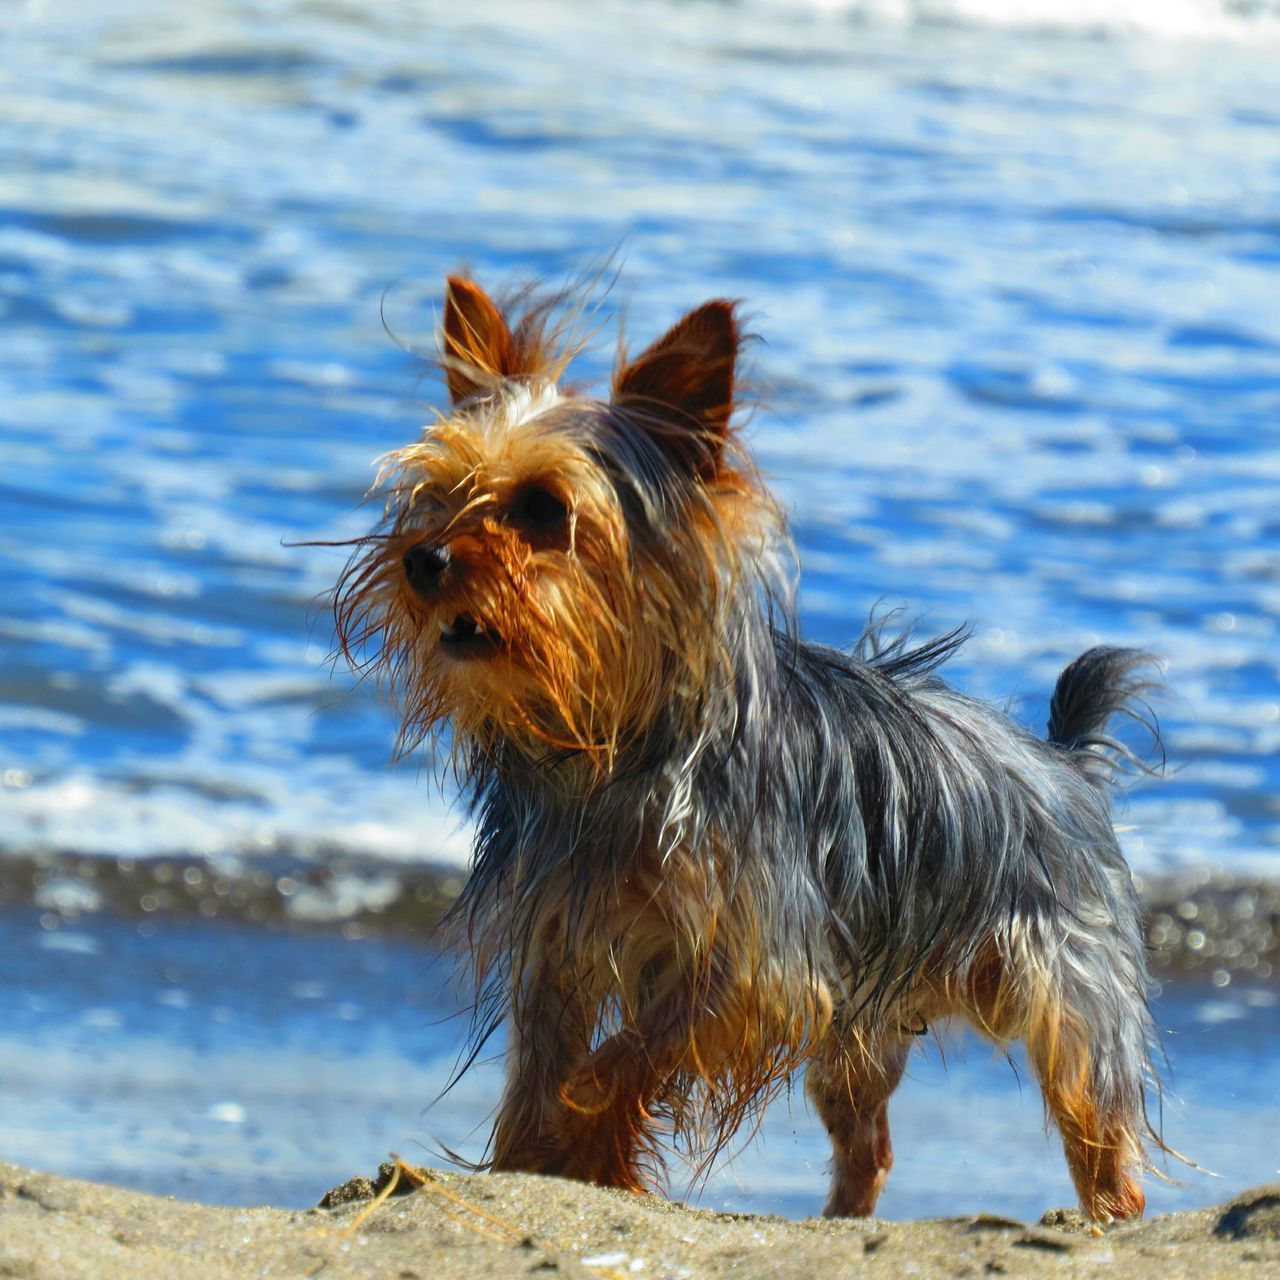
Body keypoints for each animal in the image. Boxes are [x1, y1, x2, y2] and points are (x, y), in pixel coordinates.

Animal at [335, 277, 1167, 1218]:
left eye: (545, 507)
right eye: (439, 494)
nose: (423, 559)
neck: (613, 754)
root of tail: (1067, 762)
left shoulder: (759, 969)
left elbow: (621, 1062)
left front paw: (589, 1145)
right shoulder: (559, 941)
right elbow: (544, 1070)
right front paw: (538, 1160)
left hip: (1070, 997)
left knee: (1098, 1133)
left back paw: (1102, 1215)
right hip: (865, 1031)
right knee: (869, 1145)